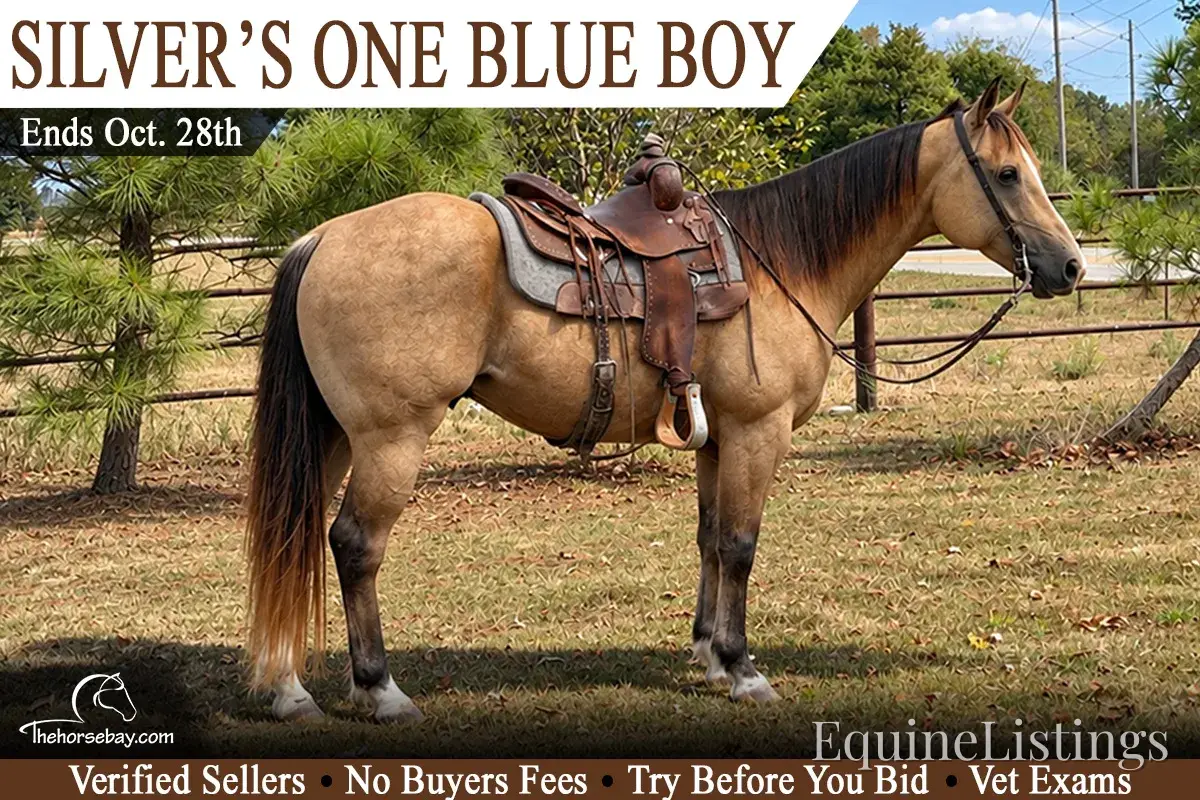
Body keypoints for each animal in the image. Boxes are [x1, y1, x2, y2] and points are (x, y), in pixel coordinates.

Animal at [245, 79, 1084, 722]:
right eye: (1007, 174)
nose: (1071, 266)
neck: (781, 263)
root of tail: (322, 236)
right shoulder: (757, 433)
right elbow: (741, 546)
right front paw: (744, 669)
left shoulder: (718, 438)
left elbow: (710, 541)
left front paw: (709, 653)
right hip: (392, 438)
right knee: (354, 544)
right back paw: (380, 689)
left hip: (334, 436)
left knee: (295, 535)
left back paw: (289, 690)